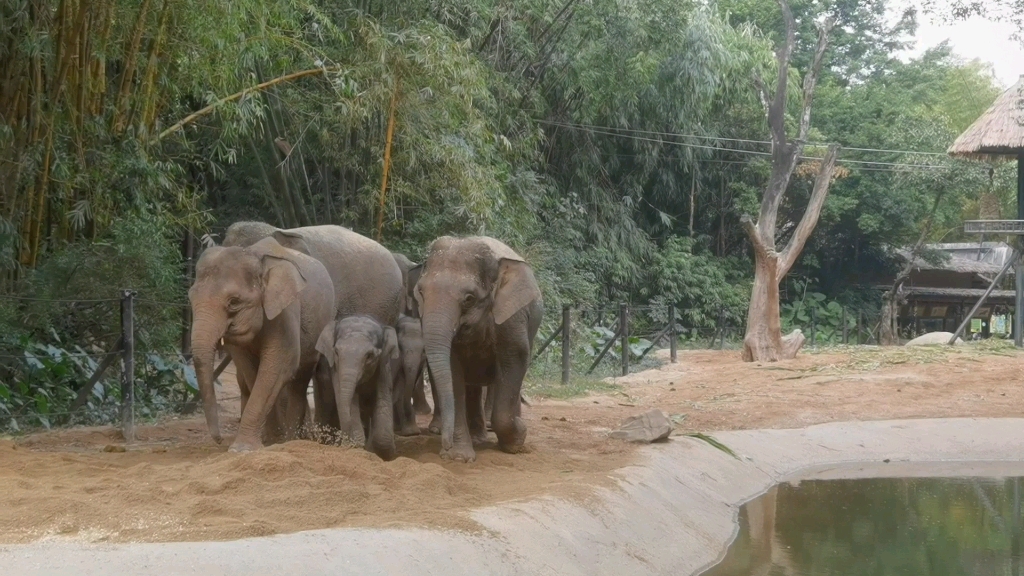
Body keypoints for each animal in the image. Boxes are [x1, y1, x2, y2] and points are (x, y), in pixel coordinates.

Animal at [189, 235, 335, 450]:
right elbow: (252, 371)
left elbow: (280, 365)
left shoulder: (286, 310)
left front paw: (242, 449)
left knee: (300, 379)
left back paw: (292, 439)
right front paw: (271, 441)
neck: (256, 257)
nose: (220, 439)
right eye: (190, 298)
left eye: (234, 302)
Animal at [315, 311, 399, 459]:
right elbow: (348, 400)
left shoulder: (383, 368)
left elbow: (383, 398)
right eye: (336, 352)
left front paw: (389, 454)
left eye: (369, 356)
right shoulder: (336, 369)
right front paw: (357, 446)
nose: (344, 440)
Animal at [413, 235, 544, 459]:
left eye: (469, 299)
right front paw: (458, 457)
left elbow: (514, 360)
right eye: (421, 292)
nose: (444, 444)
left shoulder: (512, 318)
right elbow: (453, 371)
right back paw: (477, 438)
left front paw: (517, 440)